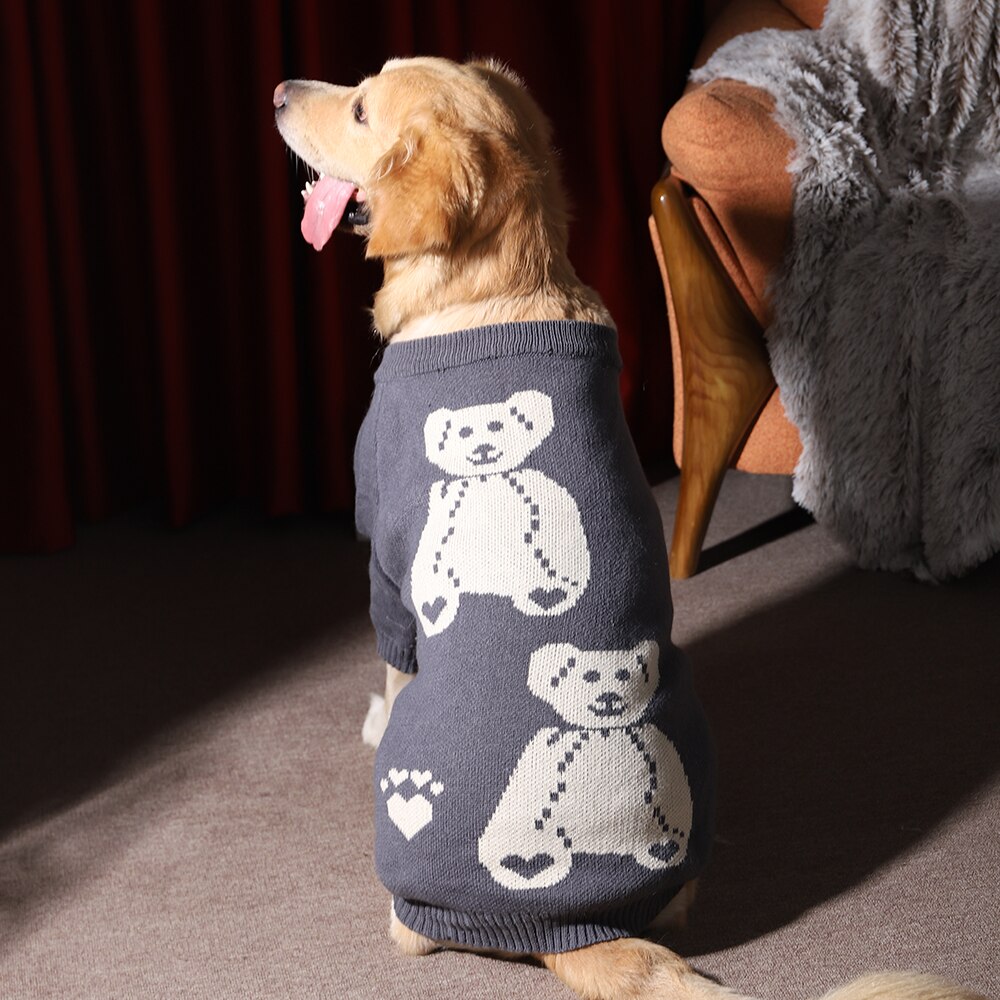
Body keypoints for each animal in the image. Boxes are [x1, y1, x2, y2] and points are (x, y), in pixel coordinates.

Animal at [477, 640, 693, 891]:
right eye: (590, 676)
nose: (608, 697)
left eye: (623, 674)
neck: (604, 733)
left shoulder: (658, 744)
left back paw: (658, 848)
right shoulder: (549, 751)